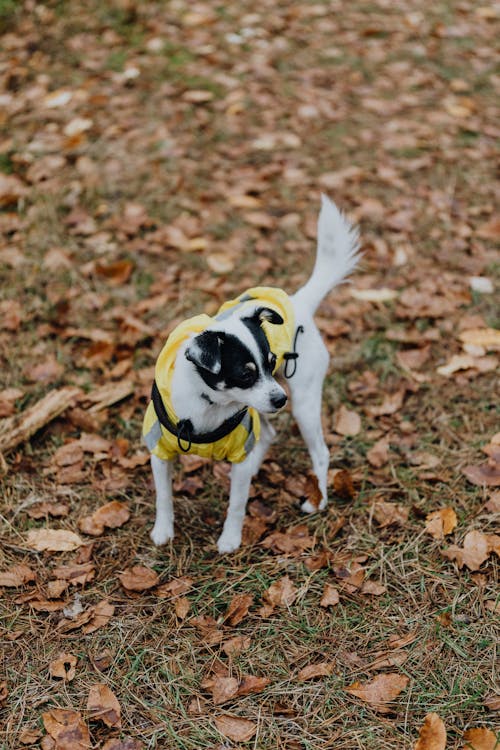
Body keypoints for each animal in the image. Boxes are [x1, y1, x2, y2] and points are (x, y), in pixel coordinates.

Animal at [143, 197, 362, 556]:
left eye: (271, 363)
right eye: (245, 375)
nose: (280, 399)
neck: (209, 404)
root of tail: (300, 302)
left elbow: (236, 504)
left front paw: (230, 539)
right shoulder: (160, 452)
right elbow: (163, 496)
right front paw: (163, 531)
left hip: (303, 403)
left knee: (320, 452)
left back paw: (318, 501)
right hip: (265, 409)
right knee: (268, 434)